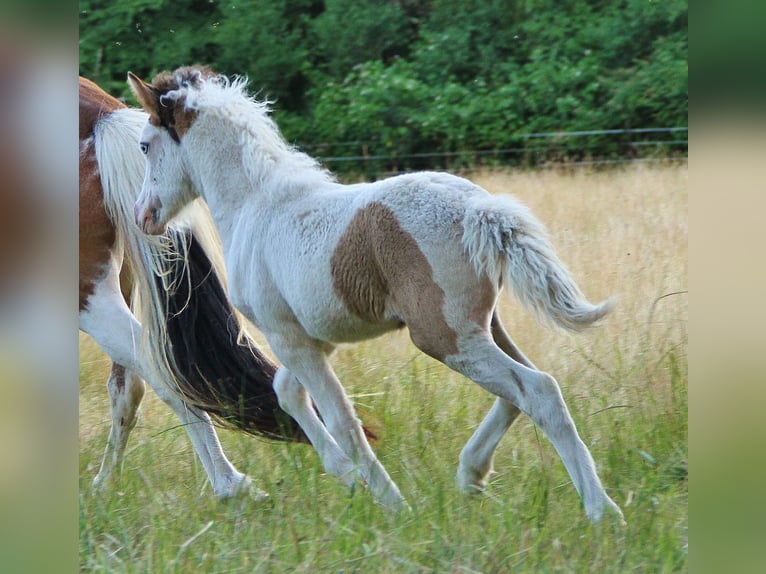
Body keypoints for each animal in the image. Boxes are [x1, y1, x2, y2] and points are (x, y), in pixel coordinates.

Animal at [78, 76, 307, 500]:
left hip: (87, 296)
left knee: (162, 372)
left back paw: (231, 486)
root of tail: (102, 116)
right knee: (129, 386)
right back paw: (104, 485)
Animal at [127, 66, 624, 523]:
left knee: (538, 391)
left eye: (145, 145)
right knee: (521, 388)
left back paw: (602, 510)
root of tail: (481, 210)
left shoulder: (289, 337)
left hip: (443, 336)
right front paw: (347, 477)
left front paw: (393, 505)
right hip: (480, 325)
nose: (142, 216)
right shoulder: (311, 338)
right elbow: (287, 392)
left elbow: (343, 421)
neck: (255, 205)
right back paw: (472, 474)